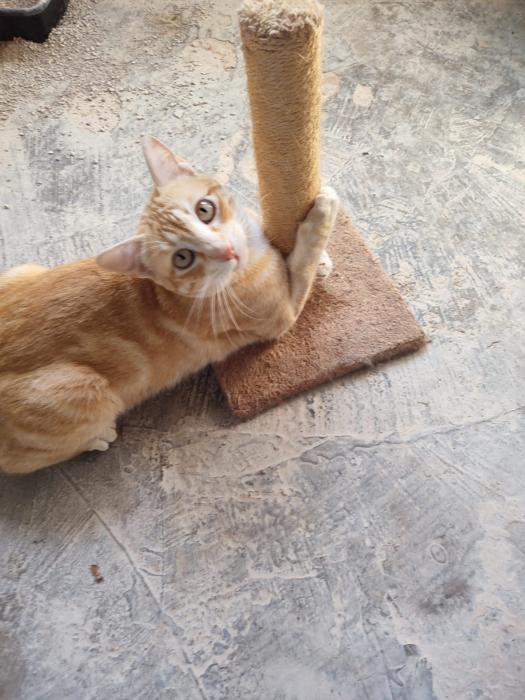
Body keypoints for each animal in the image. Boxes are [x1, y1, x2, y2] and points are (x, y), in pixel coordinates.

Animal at [0, 136, 339, 474]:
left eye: (205, 209)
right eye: (183, 258)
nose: (227, 250)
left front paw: (321, 258)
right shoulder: (283, 314)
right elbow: (301, 266)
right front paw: (321, 217)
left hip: (21, 271)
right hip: (84, 390)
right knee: (20, 461)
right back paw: (98, 437)